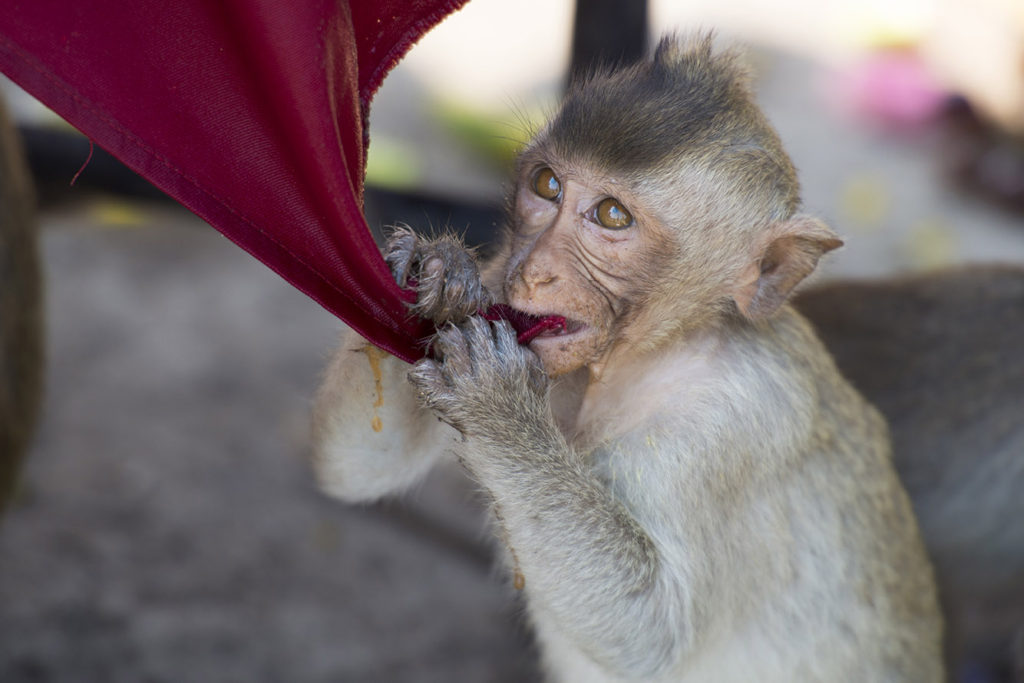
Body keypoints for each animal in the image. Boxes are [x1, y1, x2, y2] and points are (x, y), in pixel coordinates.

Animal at [311, 37, 942, 683]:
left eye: (612, 215)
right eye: (547, 185)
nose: (534, 270)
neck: (642, 356)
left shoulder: (733, 426)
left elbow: (650, 630)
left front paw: (499, 409)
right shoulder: (501, 279)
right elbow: (360, 468)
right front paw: (439, 273)